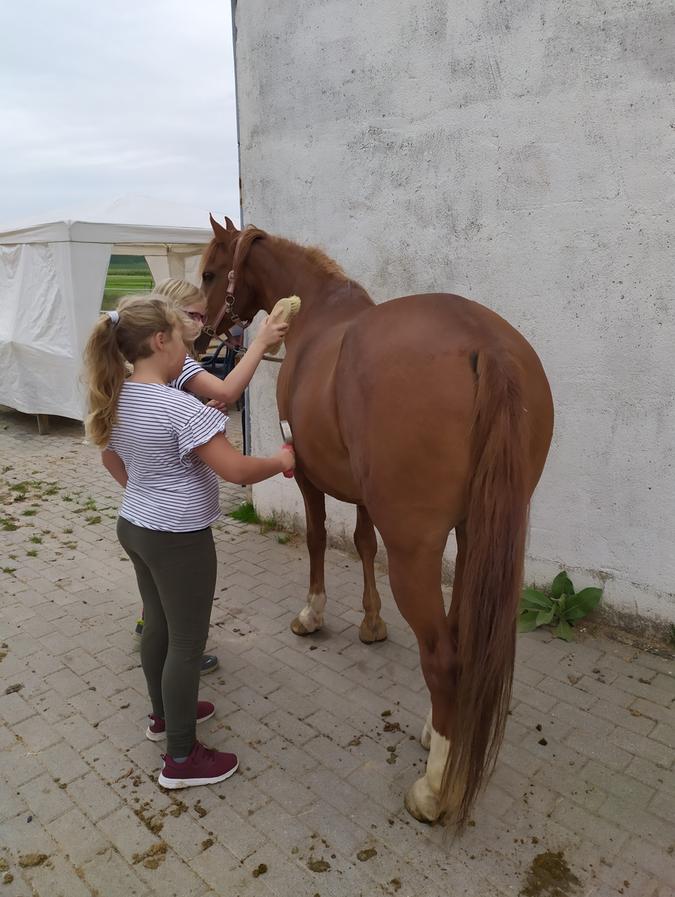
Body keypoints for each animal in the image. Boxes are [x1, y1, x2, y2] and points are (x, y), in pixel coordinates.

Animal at [201, 214, 556, 824]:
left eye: (207, 273)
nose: (199, 338)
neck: (318, 316)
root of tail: (485, 344)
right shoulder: (362, 492)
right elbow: (364, 544)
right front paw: (371, 622)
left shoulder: (309, 477)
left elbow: (319, 540)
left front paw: (313, 614)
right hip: (473, 534)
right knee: (460, 635)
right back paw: (440, 736)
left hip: (416, 550)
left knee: (443, 656)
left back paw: (434, 788)